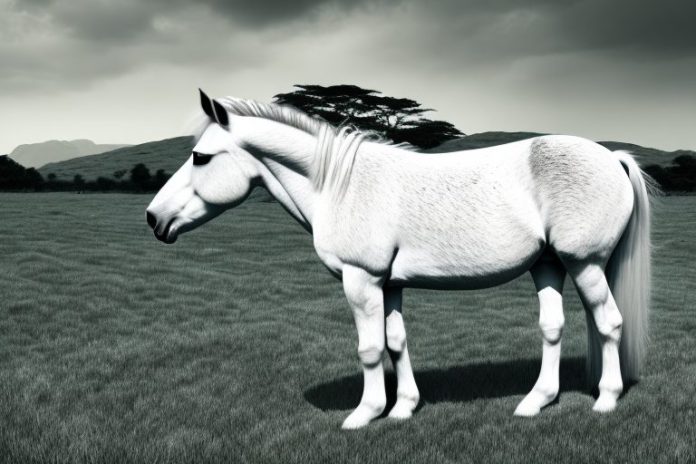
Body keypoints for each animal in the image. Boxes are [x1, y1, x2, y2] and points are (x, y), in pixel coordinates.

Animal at [146, 89, 654, 429]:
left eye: (200, 157)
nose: (154, 218)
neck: (340, 184)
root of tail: (611, 157)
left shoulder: (361, 281)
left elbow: (370, 349)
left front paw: (364, 414)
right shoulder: (388, 284)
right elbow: (395, 343)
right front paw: (403, 408)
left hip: (584, 263)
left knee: (609, 323)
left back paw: (606, 400)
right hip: (548, 265)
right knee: (552, 328)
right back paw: (535, 402)